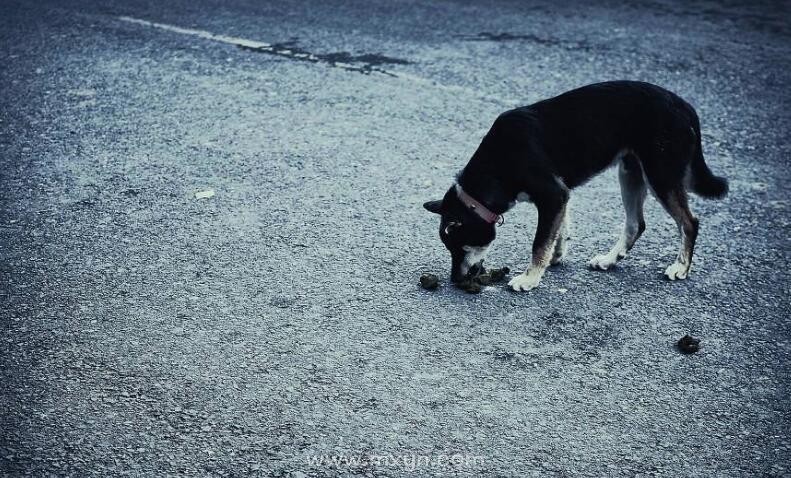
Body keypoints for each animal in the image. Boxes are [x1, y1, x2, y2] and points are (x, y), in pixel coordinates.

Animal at [426, 81, 732, 292]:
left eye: (460, 248)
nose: (454, 280)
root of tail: (683, 105)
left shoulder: (552, 195)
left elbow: (539, 242)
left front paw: (530, 278)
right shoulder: (559, 196)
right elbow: (558, 231)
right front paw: (555, 257)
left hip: (661, 176)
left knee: (689, 222)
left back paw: (681, 267)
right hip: (630, 173)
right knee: (635, 224)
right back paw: (609, 260)